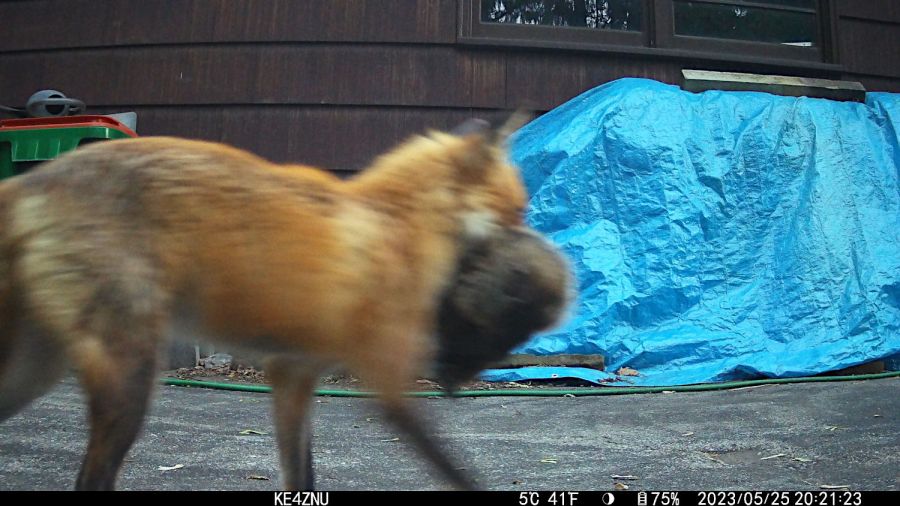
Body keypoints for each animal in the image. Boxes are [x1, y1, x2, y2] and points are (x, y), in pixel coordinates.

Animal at [0, 117, 570, 490]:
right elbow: (459, 472)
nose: (544, 255)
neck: (397, 226)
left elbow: (303, 475)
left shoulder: (294, 375)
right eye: (516, 213)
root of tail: (32, 179)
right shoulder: (389, 389)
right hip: (128, 382)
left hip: (36, 372)